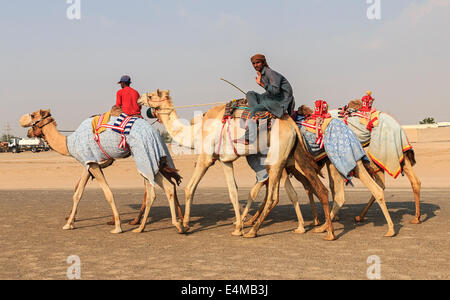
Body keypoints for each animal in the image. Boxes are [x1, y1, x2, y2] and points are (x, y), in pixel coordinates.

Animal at [19, 107, 185, 234]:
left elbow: (108, 193)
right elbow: (78, 193)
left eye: (33, 115)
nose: (27, 133)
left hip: (143, 154)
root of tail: (156, 133)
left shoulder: (91, 162)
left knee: (152, 192)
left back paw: (143, 227)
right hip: (155, 158)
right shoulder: (90, 163)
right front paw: (69, 223)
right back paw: (177, 225)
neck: (68, 143)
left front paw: (117, 227)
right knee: (169, 186)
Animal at [138, 89, 338, 241]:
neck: (196, 131)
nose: (140, 99)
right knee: (318, 188)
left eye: (151, 95)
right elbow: (233, 192)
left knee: (274, 196)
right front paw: (237, 227)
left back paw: (254, 231)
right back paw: (324, 231)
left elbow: (189, 188)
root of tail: (291, 125)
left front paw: (185, 225)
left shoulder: (206, 157)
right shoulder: (225, 161)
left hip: (276, 158)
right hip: (294, 155)